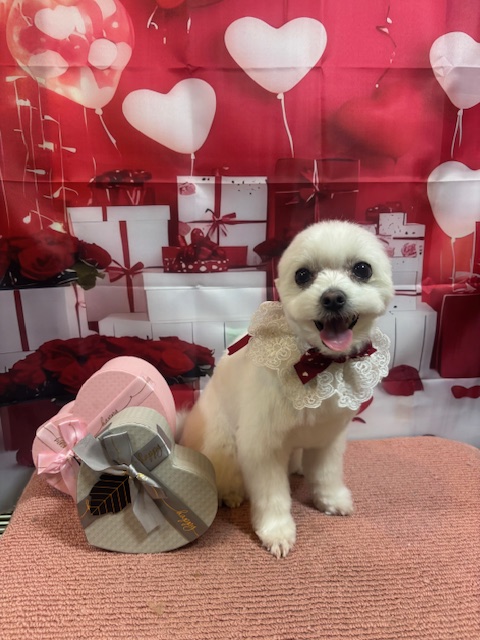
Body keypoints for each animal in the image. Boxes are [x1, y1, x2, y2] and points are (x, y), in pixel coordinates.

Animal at [180, 220, 394, 557]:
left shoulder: (328, 434)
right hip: (222, 442)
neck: (320, 362)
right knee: (225, 472)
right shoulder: (261, 445)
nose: (333, 298)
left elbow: (327, 473)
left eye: (362, 269)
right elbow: (272, 494)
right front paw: (276, 532)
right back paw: (230, 493)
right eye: (302, 275)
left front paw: (331, 500)